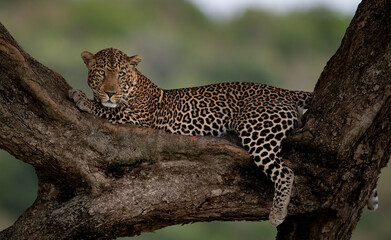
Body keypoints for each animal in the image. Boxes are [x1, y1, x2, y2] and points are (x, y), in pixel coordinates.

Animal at [69, 47, 380, 226]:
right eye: (100, 73)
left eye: (120, 75)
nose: (110, 92)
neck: (135, 86)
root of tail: (283, 90)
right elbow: (106, 108)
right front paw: (89, 96)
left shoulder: (138, 120)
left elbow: (107, 111)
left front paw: (80, 97)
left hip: (258, 132)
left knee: (285, 171)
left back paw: (277, 213)